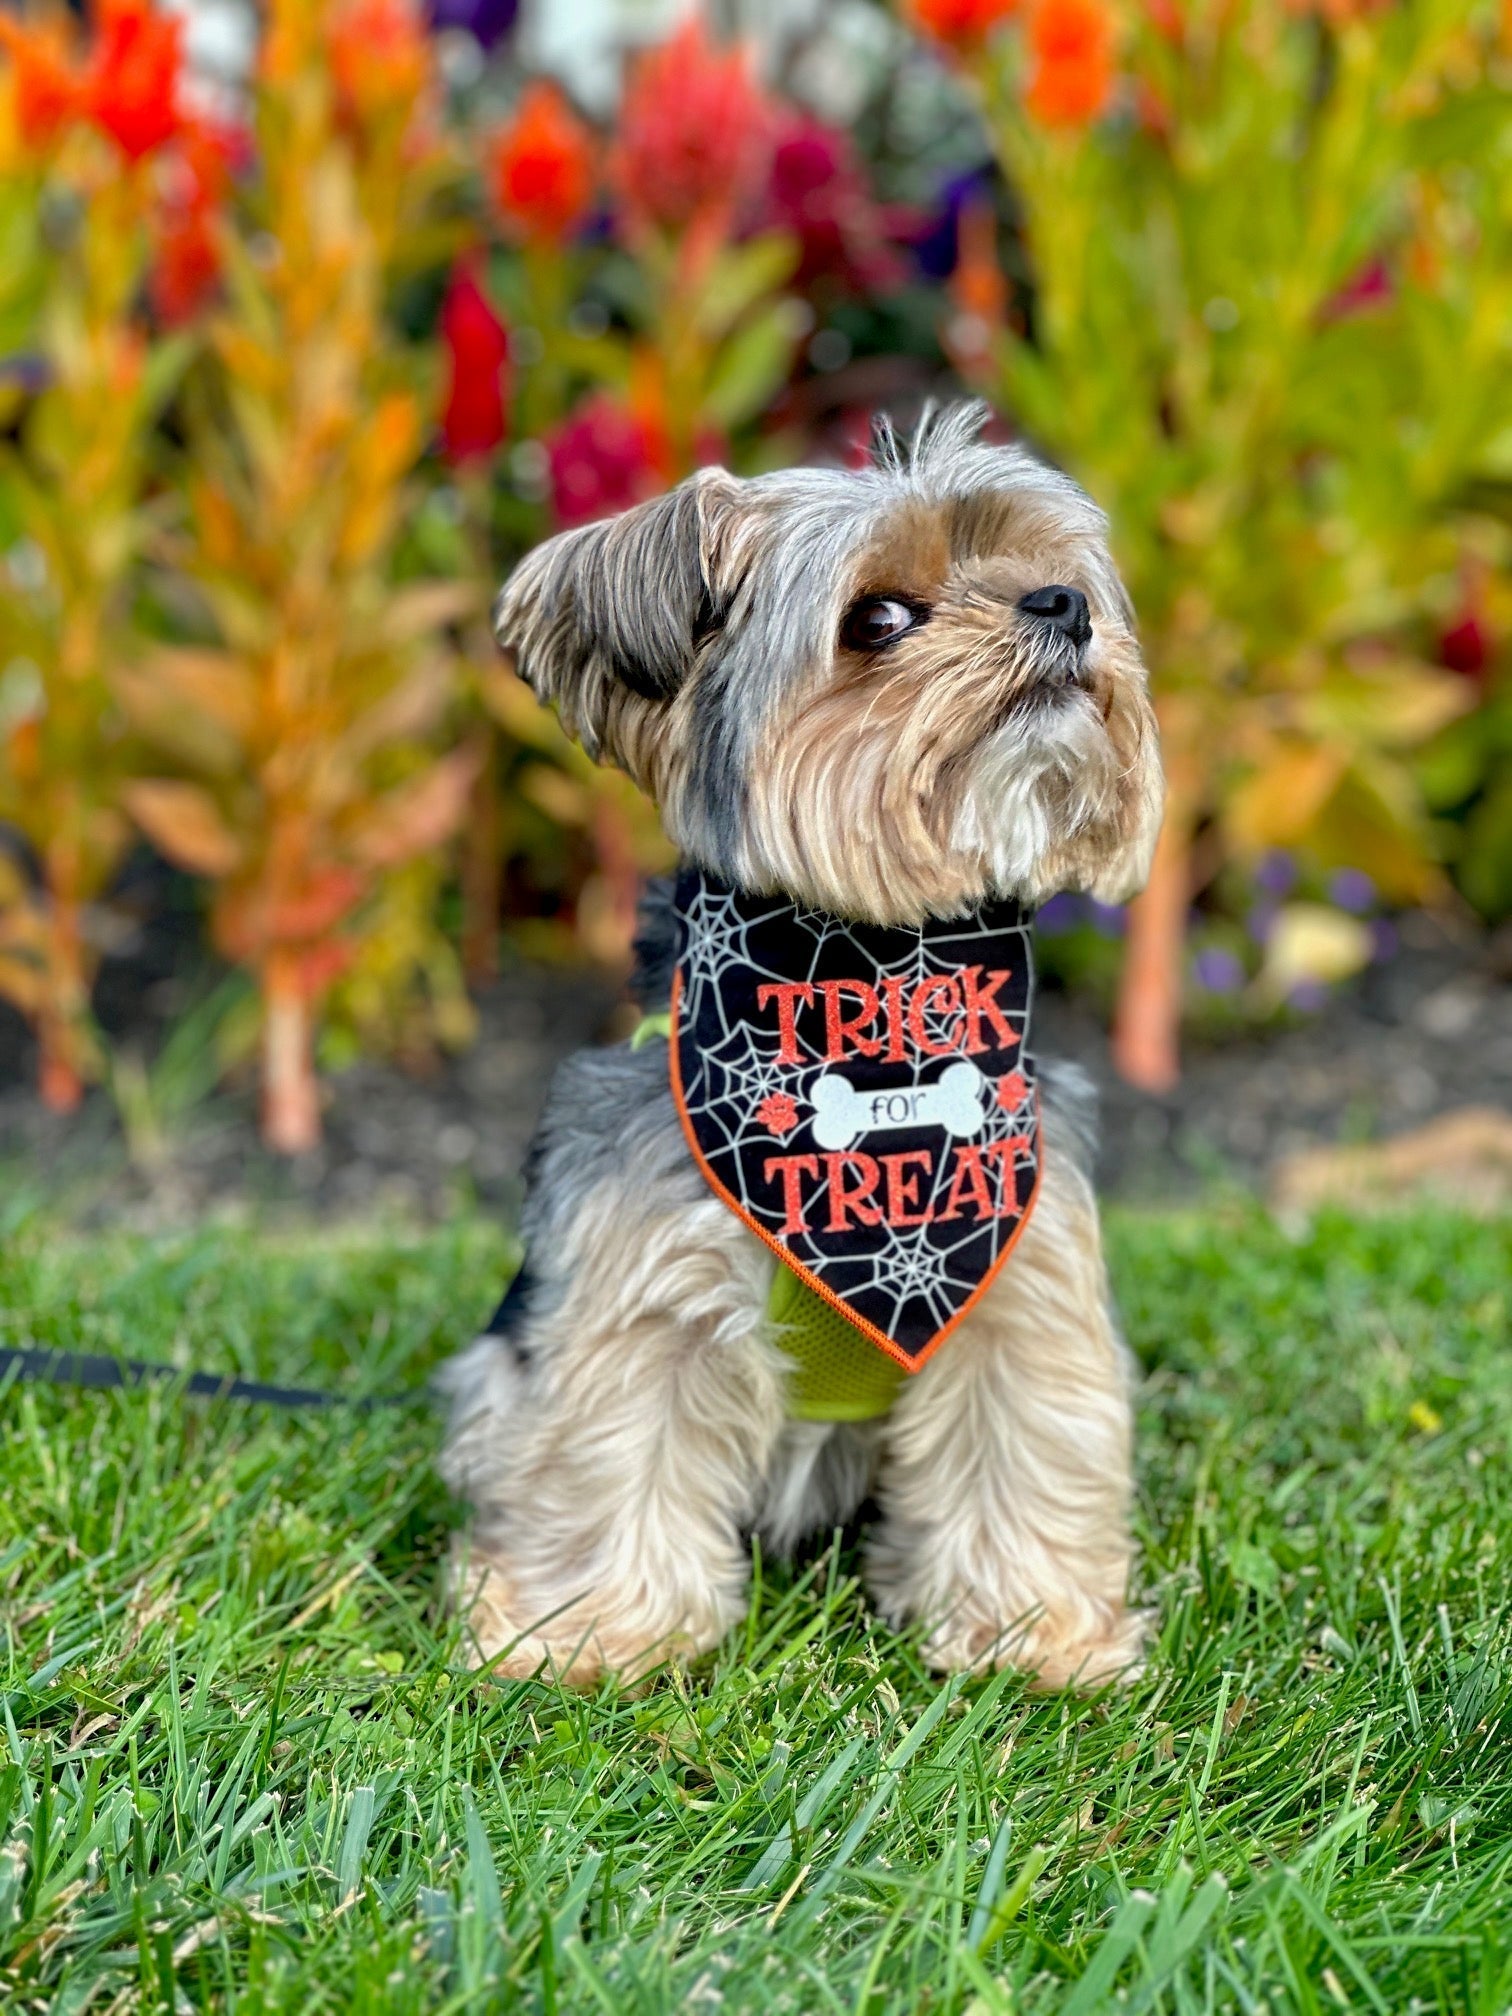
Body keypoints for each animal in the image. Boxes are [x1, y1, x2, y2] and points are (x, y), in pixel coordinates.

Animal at [431, 401, 1169, 1693]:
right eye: (878, 618)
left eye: (1058, 578)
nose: (1062, 607)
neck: (875, 987)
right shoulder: (639, 1291)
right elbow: (611, 1451)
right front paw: (591, 1631)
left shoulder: (1021, 1279)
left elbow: (1024, 1444)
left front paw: (1030, 1633)